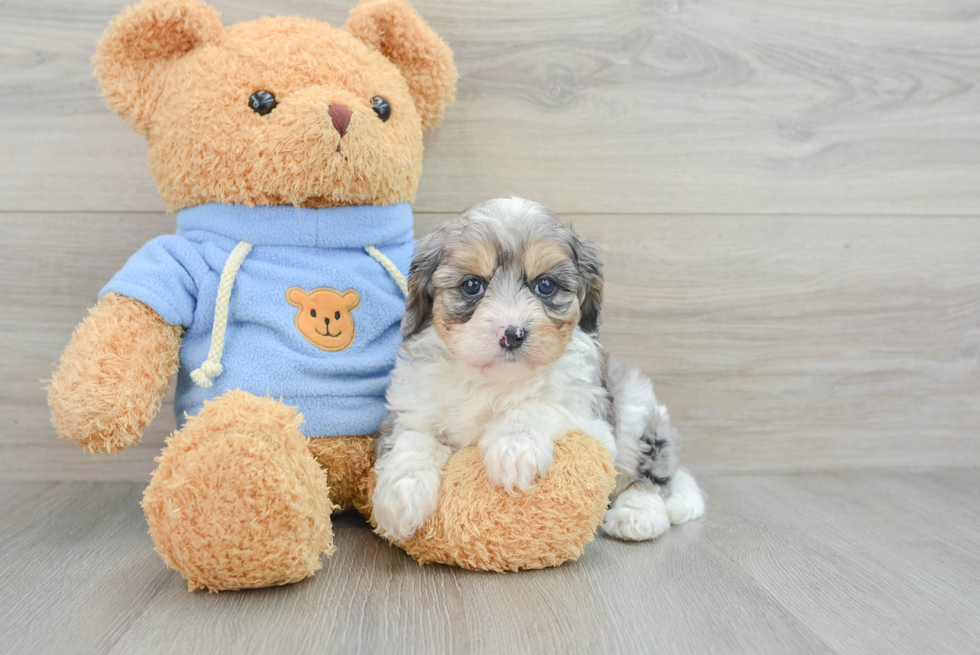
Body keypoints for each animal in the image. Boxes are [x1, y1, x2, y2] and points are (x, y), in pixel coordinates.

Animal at [374, 196, 704, 544]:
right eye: (472, 285)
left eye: (545, 285)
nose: (512, 334)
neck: (496, 380)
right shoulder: (411, 406)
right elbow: (414, 438)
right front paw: (401, 494)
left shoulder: (591, 417)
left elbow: (539, 405)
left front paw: (513, 447)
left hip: (635, 403)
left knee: (653, 469)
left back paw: (638, 513)